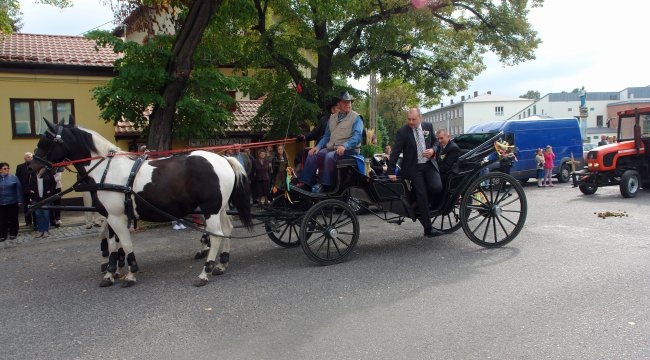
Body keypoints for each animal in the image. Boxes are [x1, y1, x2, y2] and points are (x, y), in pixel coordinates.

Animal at [31, 121, 252, 286]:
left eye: (46, 140)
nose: (33, 165)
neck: (106, 170)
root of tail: (223, 159)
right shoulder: (111, 217)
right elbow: (112, 245)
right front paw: (110, 273)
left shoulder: (116, 217)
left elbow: (126, 243)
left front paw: (130, 273)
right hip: (219, 208)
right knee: (227, 230)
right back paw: (221, 264)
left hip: (210, 209)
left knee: (216, 236)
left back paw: (205, 272)